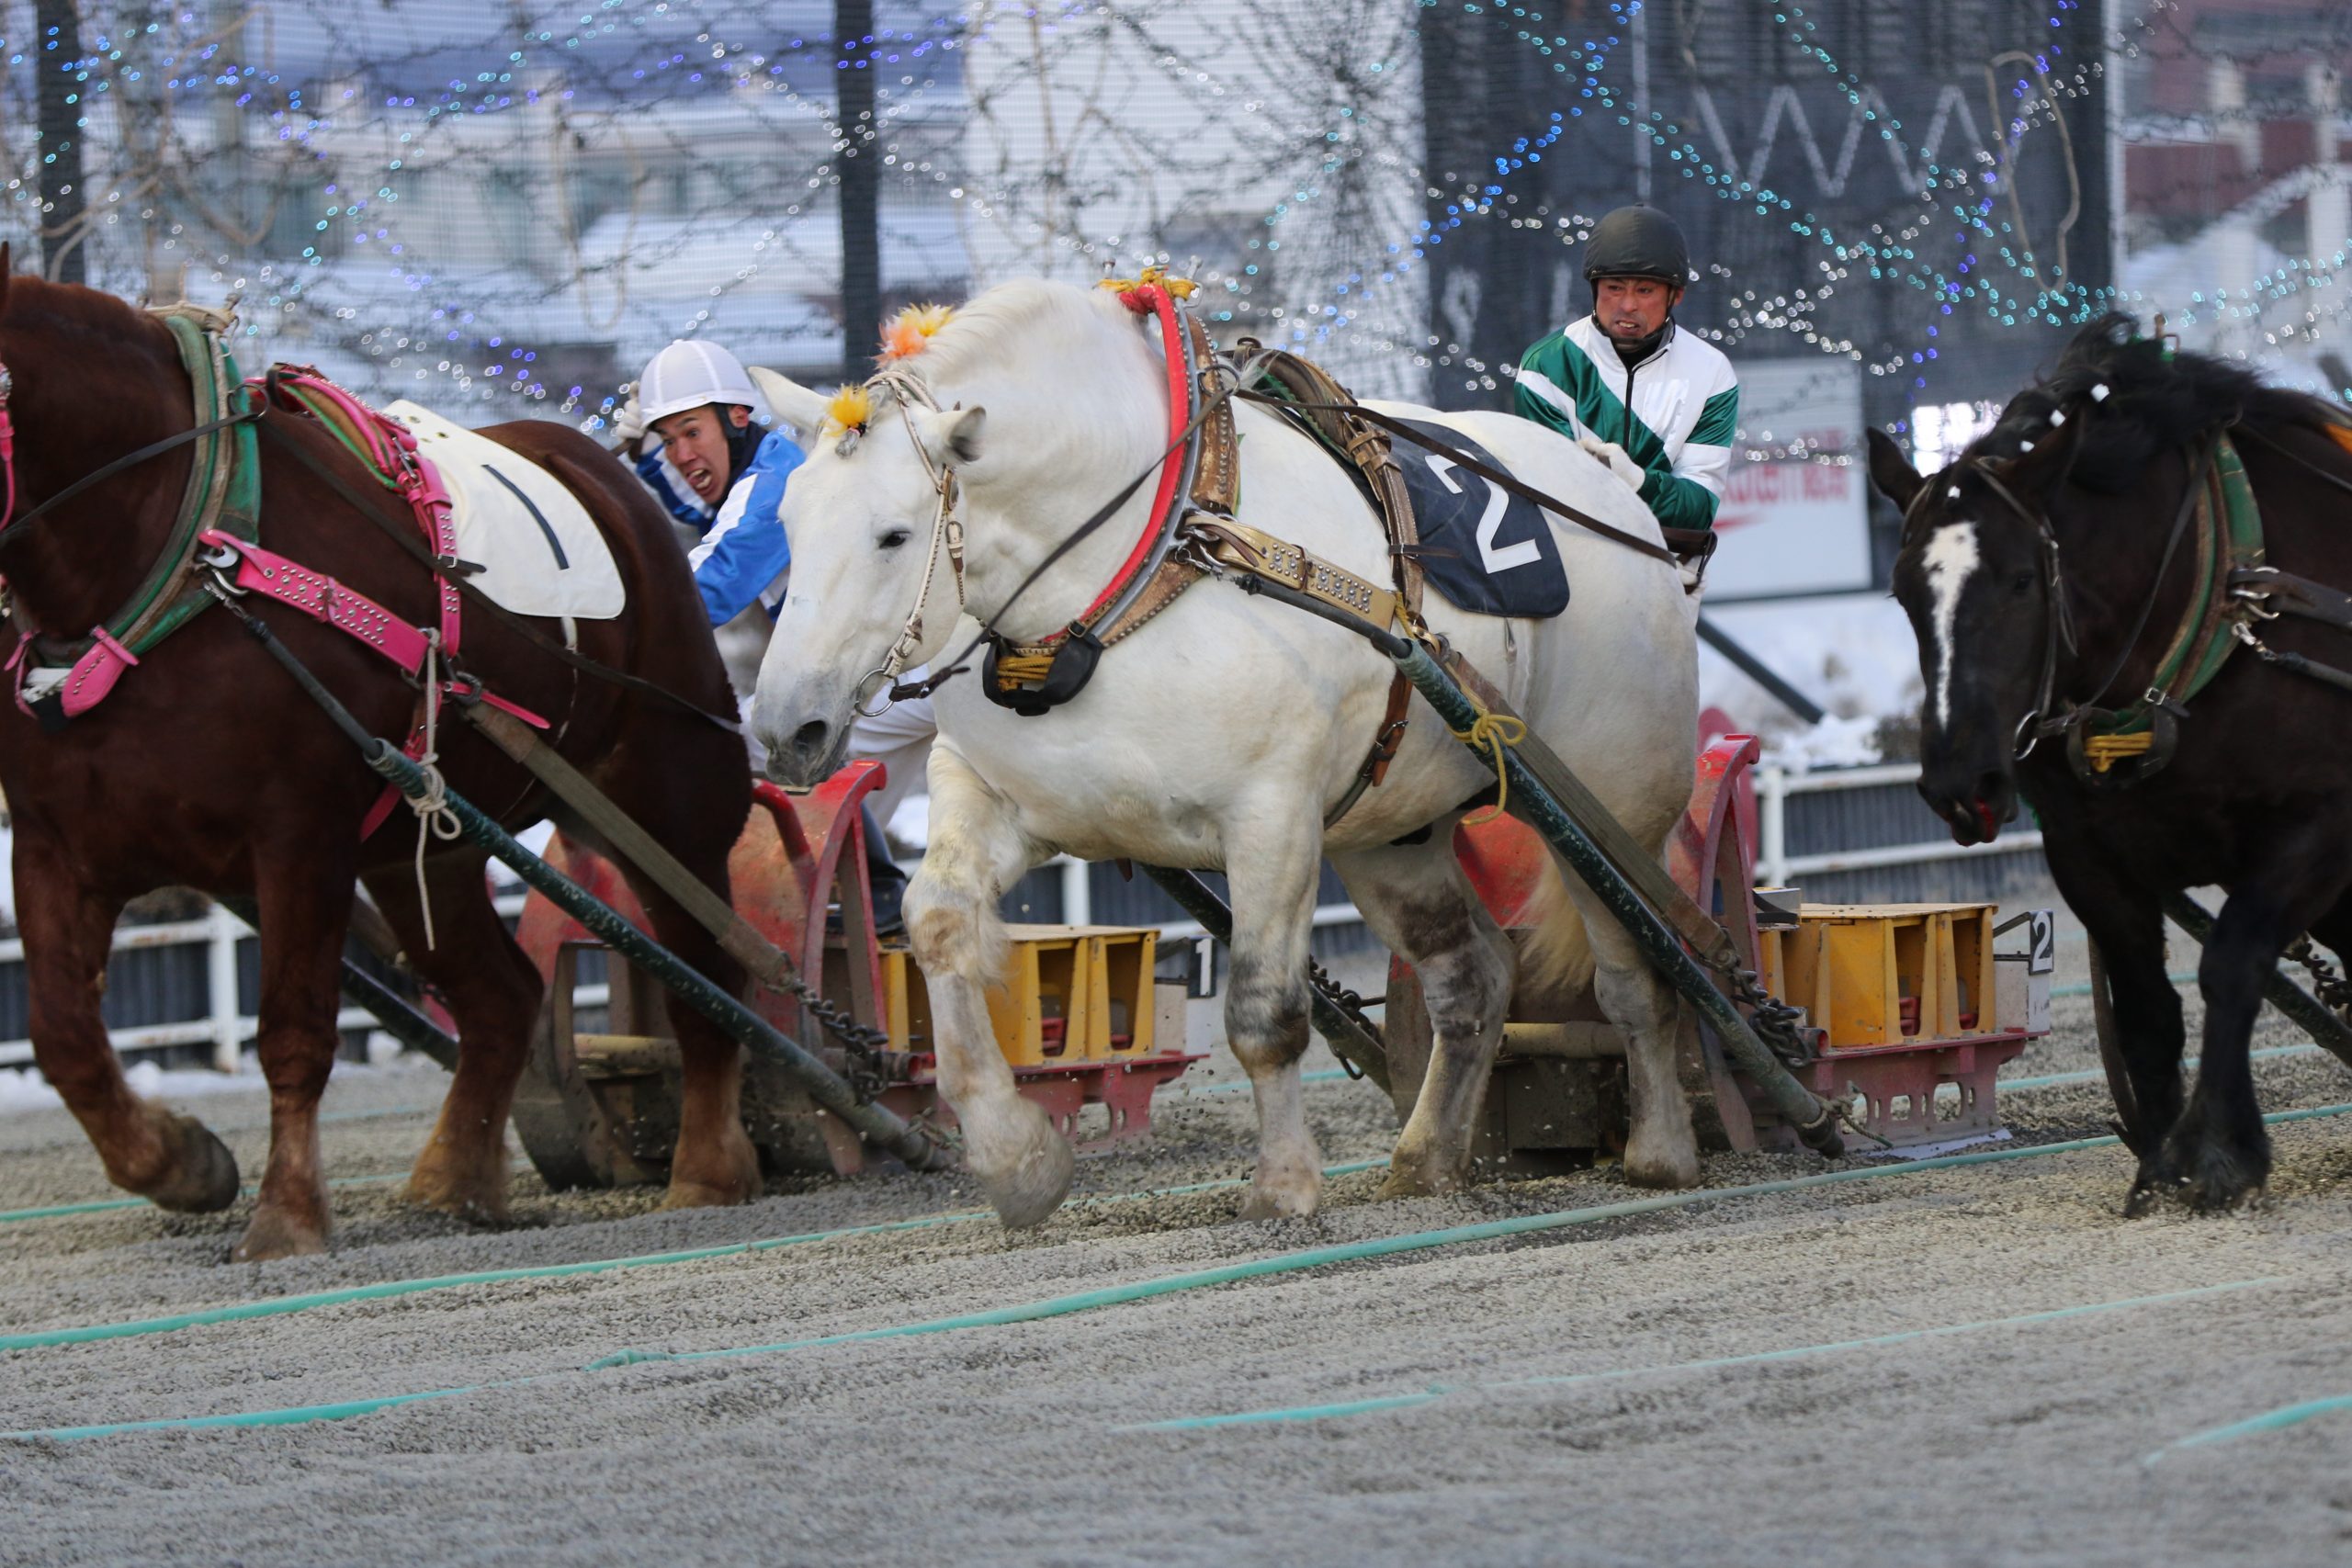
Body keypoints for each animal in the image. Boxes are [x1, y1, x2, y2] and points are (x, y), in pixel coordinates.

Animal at [0, 258, 758, 1260]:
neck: (183, 549)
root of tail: (610, 480)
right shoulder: (56, 844)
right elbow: (62, 1038)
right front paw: (181, 1162)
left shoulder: (299, 837)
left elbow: (293, 1031)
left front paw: (287, 1215)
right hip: (422, 841)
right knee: (501, 997)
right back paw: (452, 1181)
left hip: (667, 792)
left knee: (712, 975)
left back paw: (708, 1167)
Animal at [745, 278, 1699, 1227]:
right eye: (786, 521)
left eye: (894, 536)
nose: (786, 727)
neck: (1143, 565)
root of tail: (1615, 490)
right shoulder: (993, 792)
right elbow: (940, 922)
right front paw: (1015, 1157)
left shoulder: (1271, 819)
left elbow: (1263, 1014)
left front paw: (1282, 1182)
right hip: (1391, 833)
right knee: (1474, 977)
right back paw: (1426, 1157)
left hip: (1613, 806)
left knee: (1640, 972)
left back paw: (1660, 1149)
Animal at [1866, 313, 2352, 1213]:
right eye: (1907, 593)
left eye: (2022, 581)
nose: (1958, 782)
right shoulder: (2088, 855)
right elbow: (2147, 1013)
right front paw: (2161, 1159)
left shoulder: (2320, 825)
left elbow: (2231, 962)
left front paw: (2219, 1149)